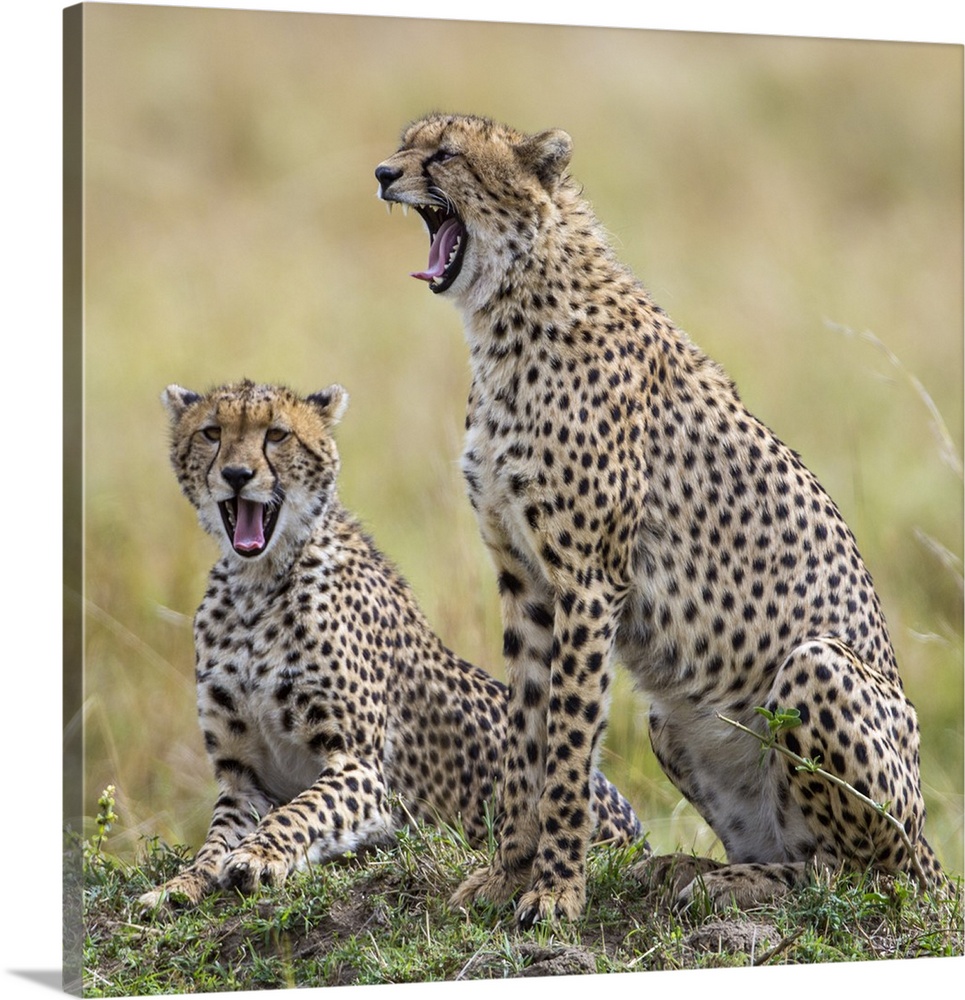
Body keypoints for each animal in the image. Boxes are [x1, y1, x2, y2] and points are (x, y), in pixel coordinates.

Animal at [137, 378, 640, 912]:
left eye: (277, 434)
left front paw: (259, 855)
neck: (257, 585)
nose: (236, 475)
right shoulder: (242, 778)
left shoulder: (361, 770)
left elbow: (299, 811)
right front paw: (180, 884)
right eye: (211, 433)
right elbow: (214, 840)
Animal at [374, 113, 940, 924]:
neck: (510, 309)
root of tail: (930, 850)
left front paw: (556, 890)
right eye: (406, 142)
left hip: (821, 673)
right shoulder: (525, 580)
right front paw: (508, 873)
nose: (384, 174)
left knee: (853, 876)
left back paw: (726, 883)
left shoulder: (589, 581)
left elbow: (568, 744)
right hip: (668, 721)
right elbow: (526, 735)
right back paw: (685, 867)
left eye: (445, 154)